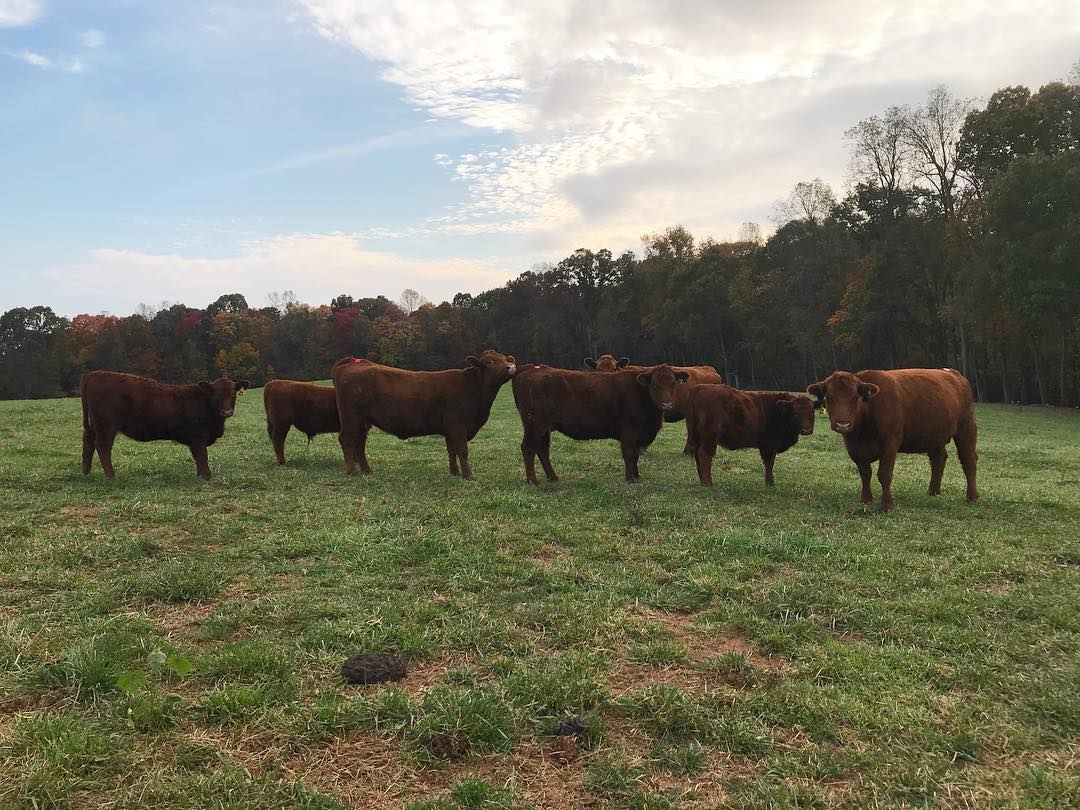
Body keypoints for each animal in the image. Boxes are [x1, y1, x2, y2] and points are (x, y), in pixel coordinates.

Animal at [80, 371, 249, 480]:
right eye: (216, 395)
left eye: (233, 394)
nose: (227, 411)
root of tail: (93, 374)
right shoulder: (198, 438)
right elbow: (202, 456)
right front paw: (207, 476)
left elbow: (198, 458)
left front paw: (200, 474)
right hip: (105, 426)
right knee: (103, 446)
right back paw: (111, 476)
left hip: (95, 425)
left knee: (88, 441)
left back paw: (86, 471)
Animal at [331, 350, 516, 480]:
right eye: (490, 361)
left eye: (506, 359)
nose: (511, 367)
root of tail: (353, 361)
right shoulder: (458, 426)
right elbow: (462, 451)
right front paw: (468, 475)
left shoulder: (450, 430)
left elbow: (452, 450)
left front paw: (454, 472)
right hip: (351, 417)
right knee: (346, 440)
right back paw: (352, 472)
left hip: (363, 421)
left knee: (359, 443)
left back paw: (367, 471)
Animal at [512, 364, 689, 484]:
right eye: (655, 385)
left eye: (673, 383)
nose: (667, 404)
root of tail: (533, 368)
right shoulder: (629, 430)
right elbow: (629, 454)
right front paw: (630, 478)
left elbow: (636, 455)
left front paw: (637, 476)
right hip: (534, 426)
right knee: (528, 448)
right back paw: (533, 480)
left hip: (543, 429)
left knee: (542, 449)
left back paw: (553, 477)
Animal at [685, 384, 815, 487]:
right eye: (795, 413)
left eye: (812, 412)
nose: (806, 430)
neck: (779, 411)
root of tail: (699, 388)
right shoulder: (769, 446)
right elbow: (769, 464)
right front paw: (770, 483)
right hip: (710, 438)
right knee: (705, 455)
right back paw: (708, 483)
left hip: (696, 437)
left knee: (697, 455)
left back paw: (702, 481)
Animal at [806, 368, 978, 511]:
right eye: (829, 397)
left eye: (856, 397)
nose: (843, 424)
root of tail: (955, 374)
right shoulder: (854, 447)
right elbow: (865, 473)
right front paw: (866, 499)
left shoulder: (890, 442)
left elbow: (884, 474)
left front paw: (887, 505)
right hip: (934, 435)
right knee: (938, 459)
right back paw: (933, 491)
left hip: (966, 427)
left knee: (968, 461)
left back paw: (972, 497)